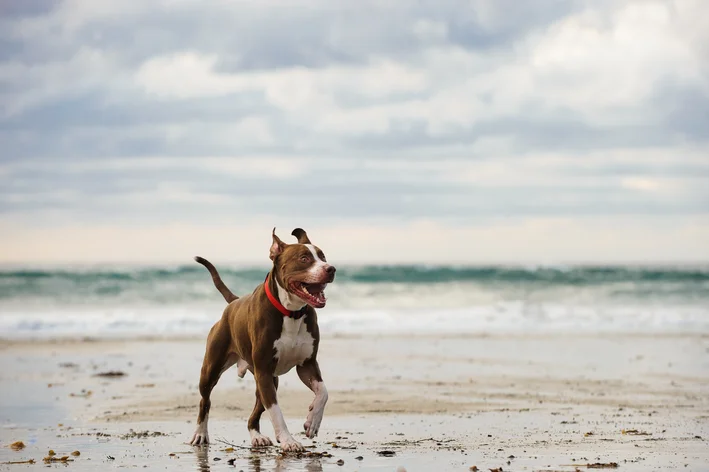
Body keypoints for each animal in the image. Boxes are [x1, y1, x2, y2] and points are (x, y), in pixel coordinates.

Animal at [187, 229, 334, 454]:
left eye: (323, 256)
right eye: (304, 259)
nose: (331, 269)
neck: (291, 313)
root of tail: (234, 302)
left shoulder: (307, 364)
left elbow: (323, 392)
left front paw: (313, 421)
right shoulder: (264, 370)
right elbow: (276, 411)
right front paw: (288, 440)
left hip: (268, 378)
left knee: (254, 413)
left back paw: (257, 436)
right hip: (212, 369)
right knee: (205, 401)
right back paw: (200, 434)